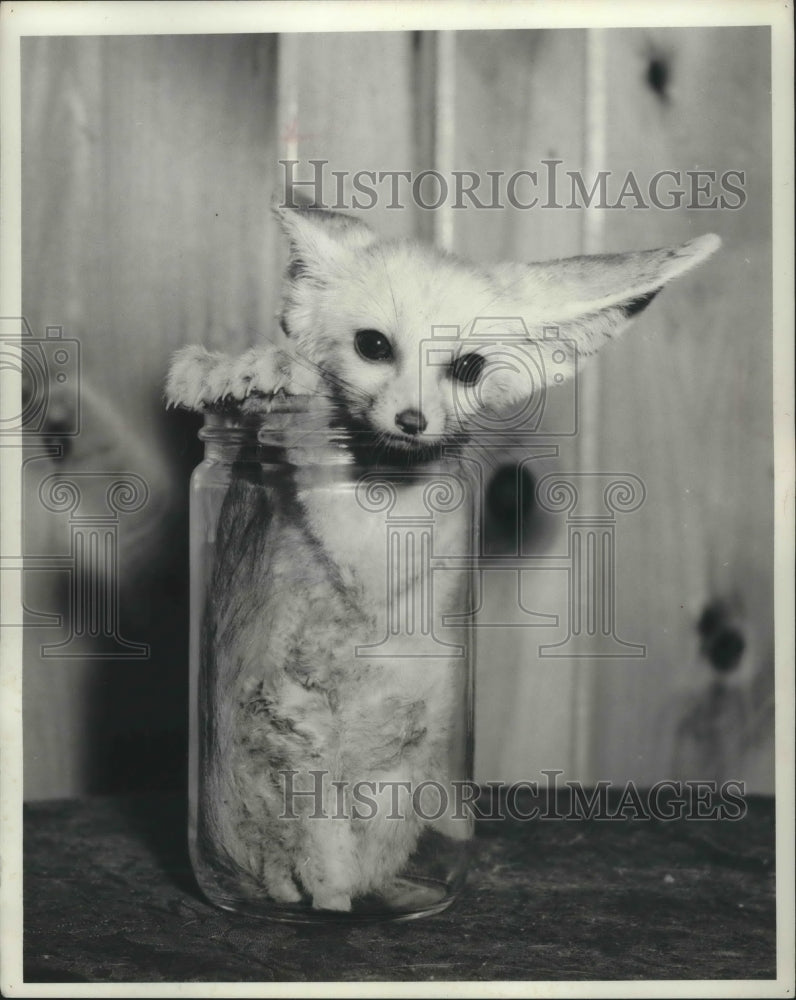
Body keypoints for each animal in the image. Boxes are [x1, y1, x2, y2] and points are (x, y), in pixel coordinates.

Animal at [165, 207, 720, 912]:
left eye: (468, 366)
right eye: (374, 346)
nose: (413, 421)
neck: (379, 472)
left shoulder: (385, 556)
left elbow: (326, 465)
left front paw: (292, 400)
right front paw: (238, 370)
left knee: (334, 875)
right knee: (296, 864)